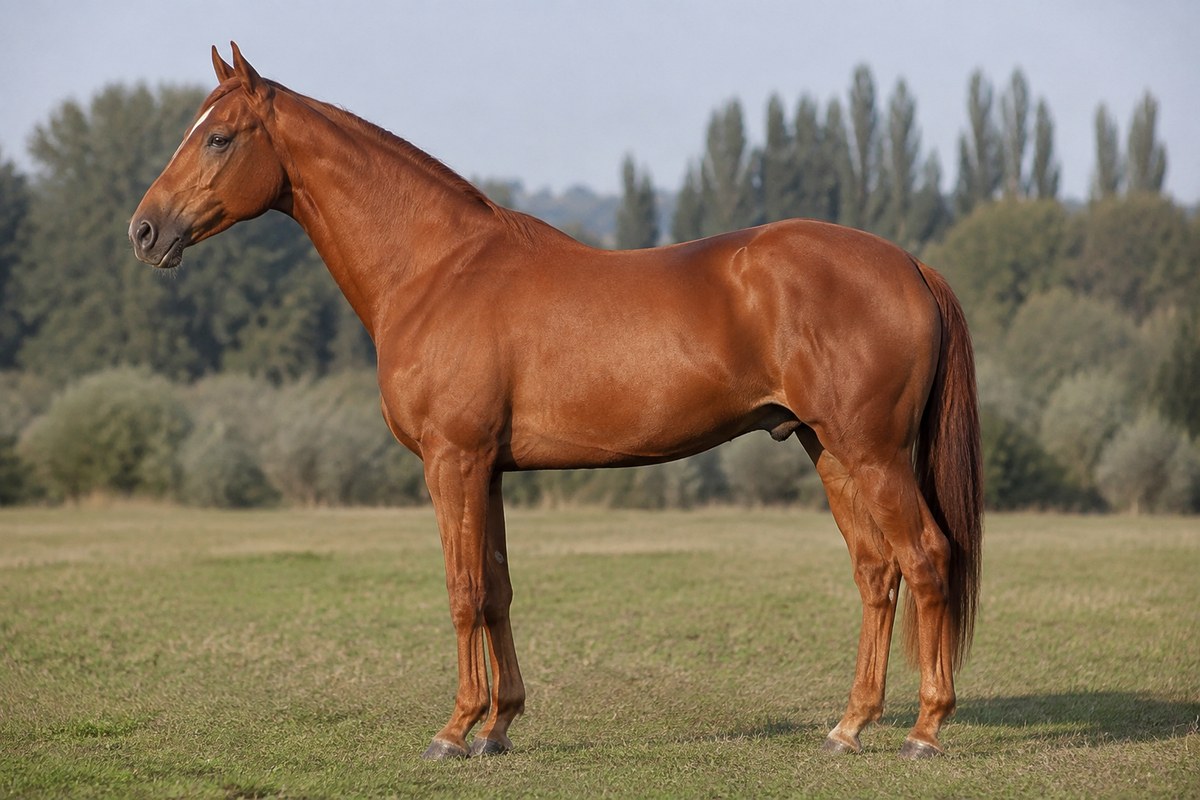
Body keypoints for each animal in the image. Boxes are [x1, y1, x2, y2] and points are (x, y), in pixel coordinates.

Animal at [130, 43, 982, 760]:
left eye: (218, 138)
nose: (144, 231)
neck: (437, 269)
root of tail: (908, 264)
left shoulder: (453, 461)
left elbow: (463, 591)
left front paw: (453, 730)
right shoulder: (489, 470)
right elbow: (498, 588)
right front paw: (498, 726)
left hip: (874, 454)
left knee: (926, 559)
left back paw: (925, 730)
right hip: (827, 448)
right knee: (876, 572)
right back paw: (849, 727)